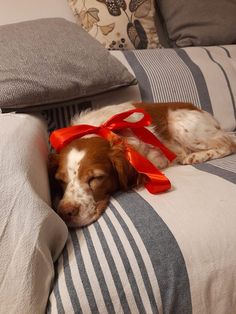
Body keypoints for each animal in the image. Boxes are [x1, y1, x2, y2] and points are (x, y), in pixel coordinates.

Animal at [48, 102, 236, 227]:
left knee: (228, 144)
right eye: (60, 180)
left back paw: (196, 156)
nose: (65, 213)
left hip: (180, 125)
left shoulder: (157, 158)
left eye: (96, 177)